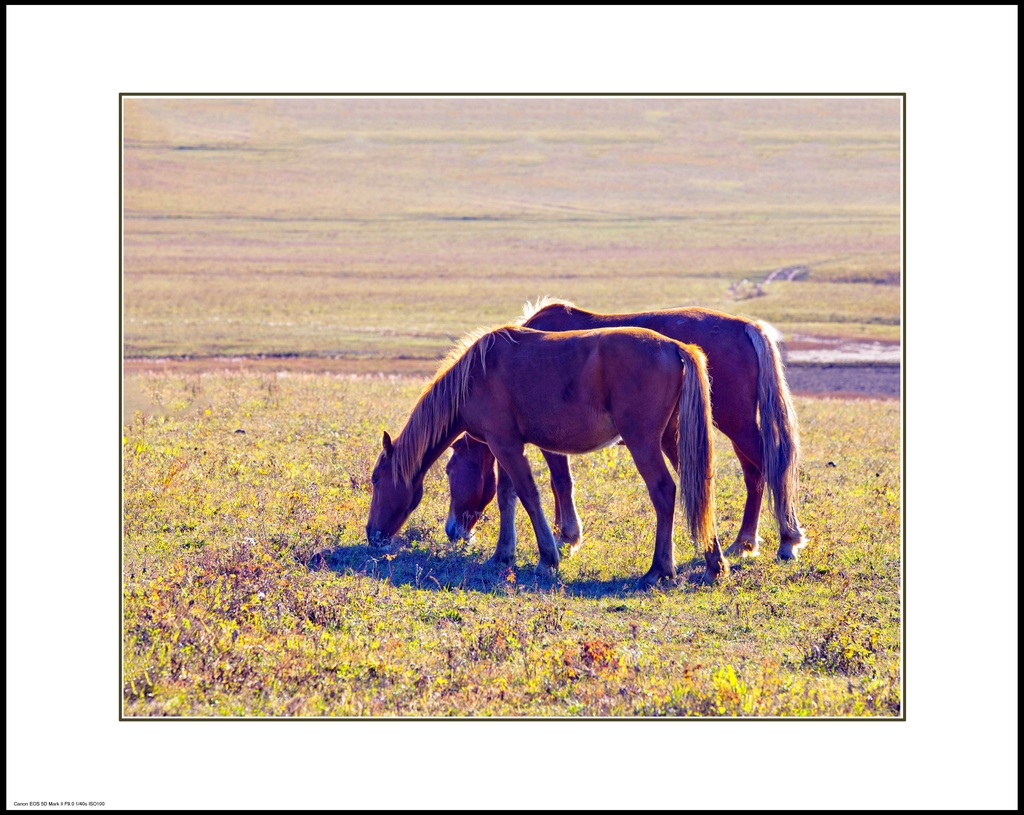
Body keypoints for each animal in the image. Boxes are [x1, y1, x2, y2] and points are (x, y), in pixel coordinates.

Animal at [368, 325, 729, 585]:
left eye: (377, 481)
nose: (372, 535)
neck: (475, 376)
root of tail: (674, 347)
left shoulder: (505, 444)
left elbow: (529, 495)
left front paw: (547, 558)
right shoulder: (506, 446)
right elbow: (507, 496)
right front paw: (503, 554)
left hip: (643, 442)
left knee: (664, 492)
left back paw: (658, 569)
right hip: (671, 439)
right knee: (700, 490)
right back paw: (714, 565)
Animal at [446, 296, 806, 561]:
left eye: (450, 470)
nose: (453, 532)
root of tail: (746, 327)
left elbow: (560, 482)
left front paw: (567, 537)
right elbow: (558, 483)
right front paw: (565, 534)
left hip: (736, 422)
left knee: (770, 468)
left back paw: (787, 539)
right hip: (736, 425)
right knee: (754, 474)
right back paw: (744, 542)